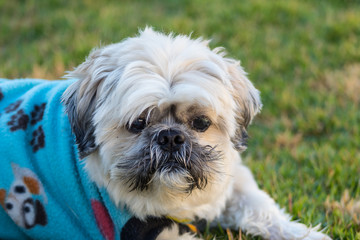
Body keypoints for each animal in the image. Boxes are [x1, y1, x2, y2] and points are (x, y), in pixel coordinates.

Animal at [0, 27, 332, 239]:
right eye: (138, 123)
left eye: (200, 123)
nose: (171, 137)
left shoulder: (231, 180)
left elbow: (262, 209)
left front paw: (304, 234)